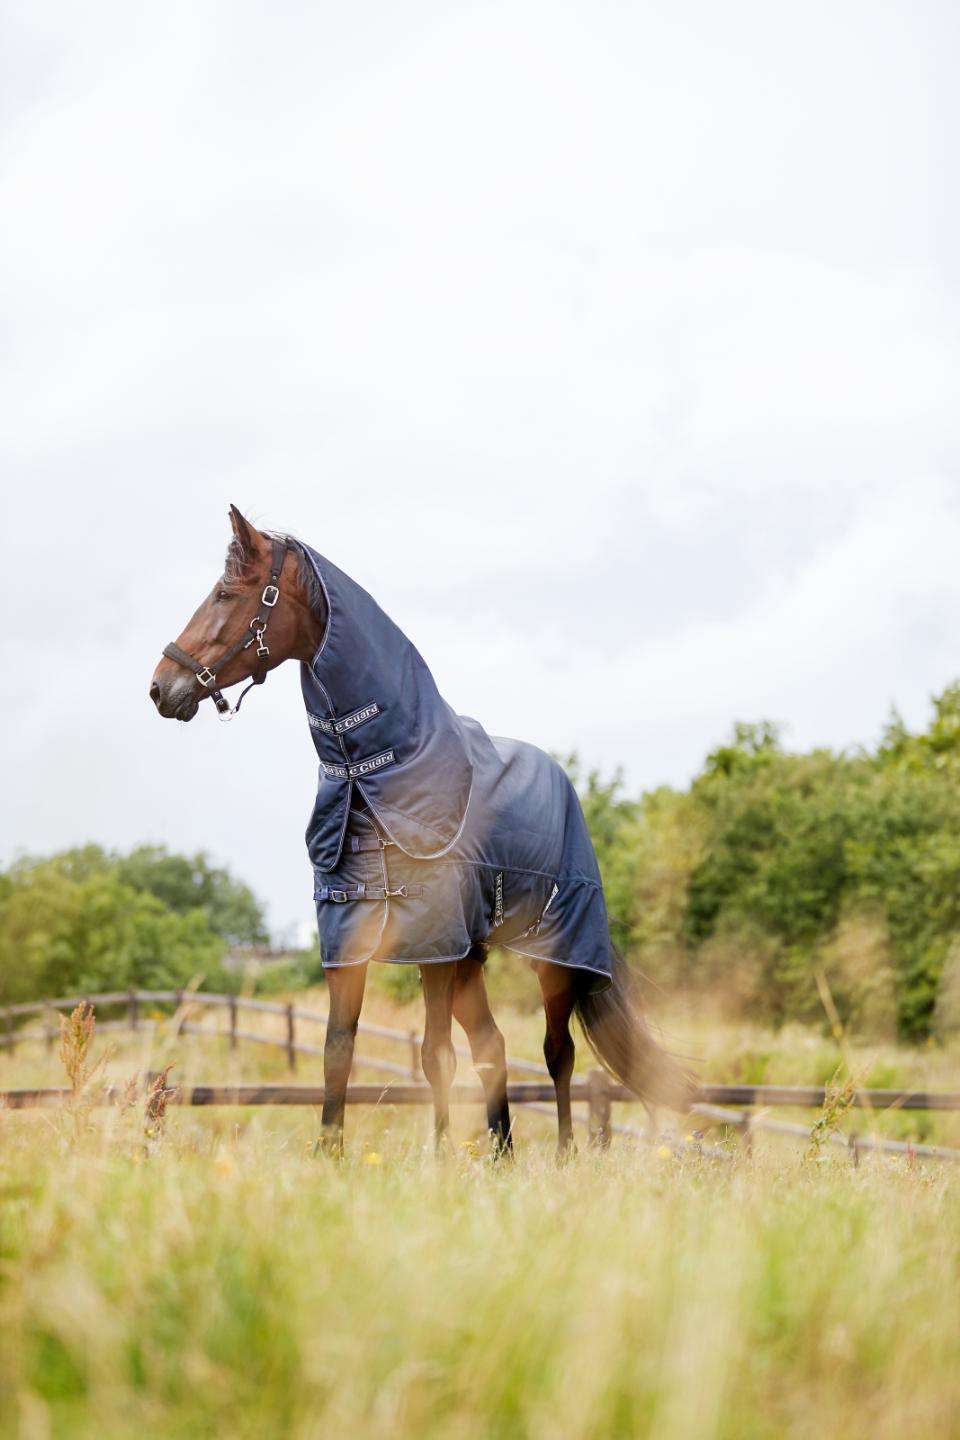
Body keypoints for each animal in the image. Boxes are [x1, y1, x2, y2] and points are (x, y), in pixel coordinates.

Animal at [150, 506, 694, 1156]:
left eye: (227, 595)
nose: (161, 687)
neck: (373, 775)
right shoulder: (352, 943)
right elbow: (338, 1051)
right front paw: (331, 1155)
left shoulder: (432, 948)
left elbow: (436, 1057)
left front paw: (438, 1164)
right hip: (471, 957)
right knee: (493, 1047)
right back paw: (502, 1157)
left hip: (552, 954)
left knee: (556, 1052)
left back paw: (563, 1157)